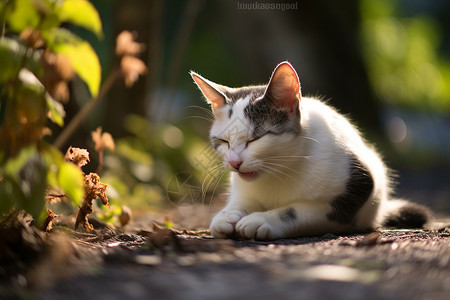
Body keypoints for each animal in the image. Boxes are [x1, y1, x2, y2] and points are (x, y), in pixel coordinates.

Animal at [190, 61, 428, 241]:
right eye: (223, 141)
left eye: (255, 139)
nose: (234, 163)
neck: (280, 170)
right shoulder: (243, 188)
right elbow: (241, 201)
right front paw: (228, 215)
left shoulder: (358, 189)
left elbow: (297, 210)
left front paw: (262, 219)